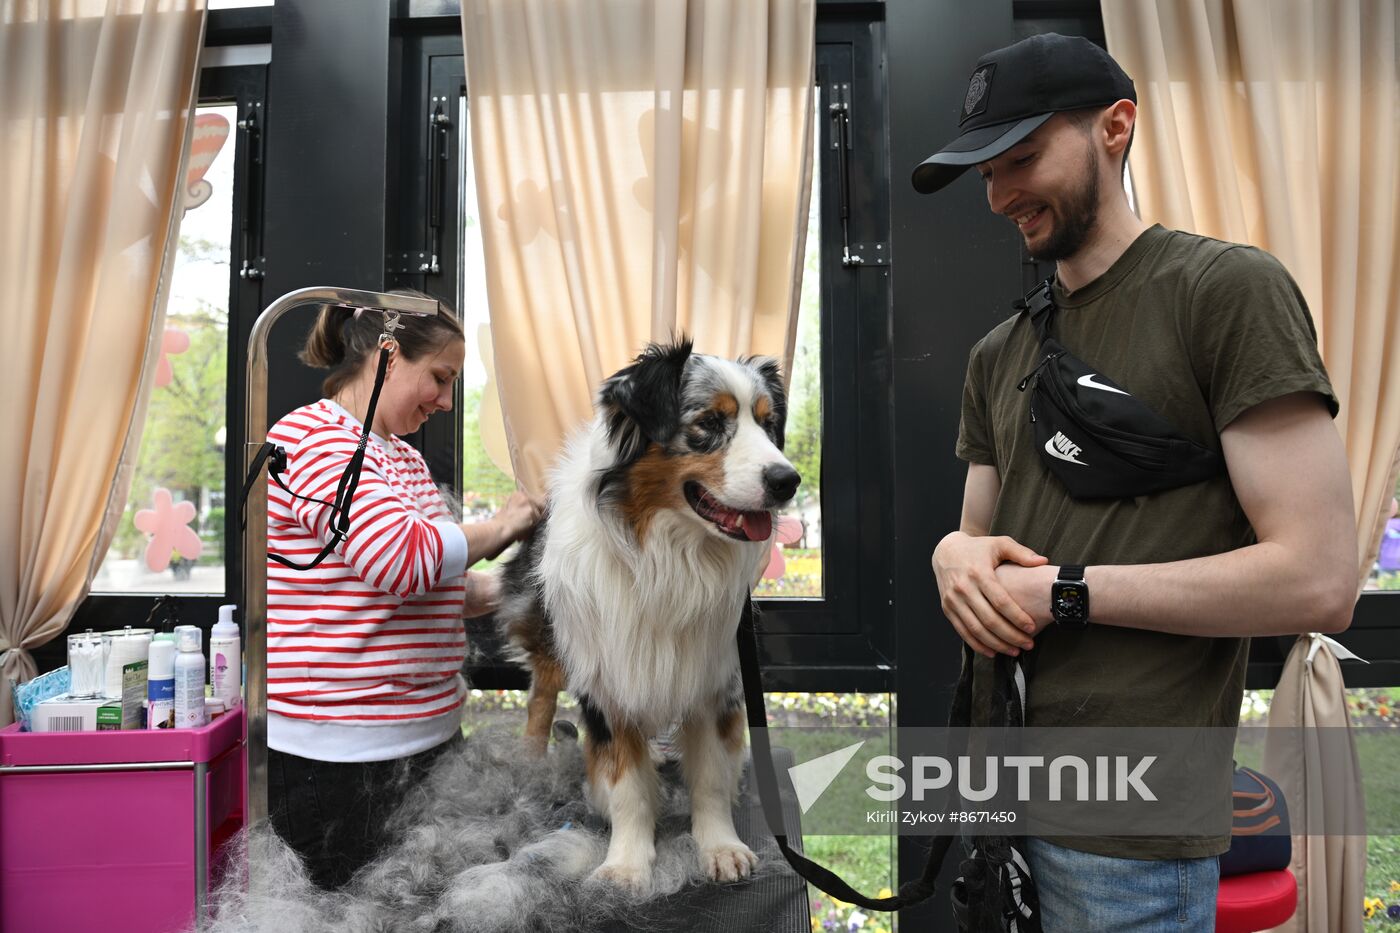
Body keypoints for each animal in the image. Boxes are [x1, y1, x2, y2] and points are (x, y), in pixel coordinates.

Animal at [495, 340, 800, 885]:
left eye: (768, 425)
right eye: (708, 422)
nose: (788, 480)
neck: (669, 555)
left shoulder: (712, 675)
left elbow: (710, 775)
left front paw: (719, 847)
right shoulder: (608, 679)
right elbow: (627, 784)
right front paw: (626, 865)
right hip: (548, 625)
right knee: (542, 694)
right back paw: (532, 757)